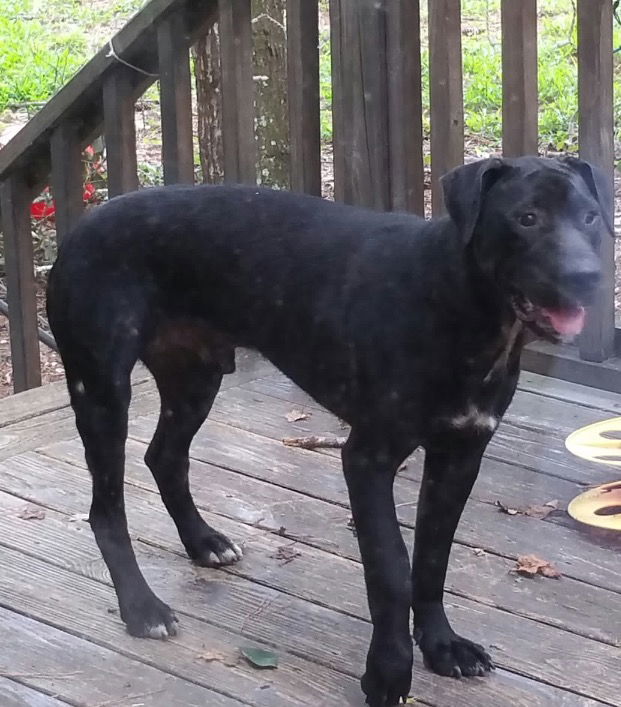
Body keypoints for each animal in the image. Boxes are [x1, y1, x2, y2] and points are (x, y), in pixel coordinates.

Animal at [47, 158, 612, 704]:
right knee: (106, 511)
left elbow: (432, 559)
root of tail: (78, 229)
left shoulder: (459, 457)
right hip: (103, 391)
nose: (588, 277)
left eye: (590, 218)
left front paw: (441, 645)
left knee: (164, 458)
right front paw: (388, 671)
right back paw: (142, 608)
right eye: (526, 218)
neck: (458, 303)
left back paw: (203, 541)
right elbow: (390, 569)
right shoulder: (367, 459)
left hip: (195, 380)